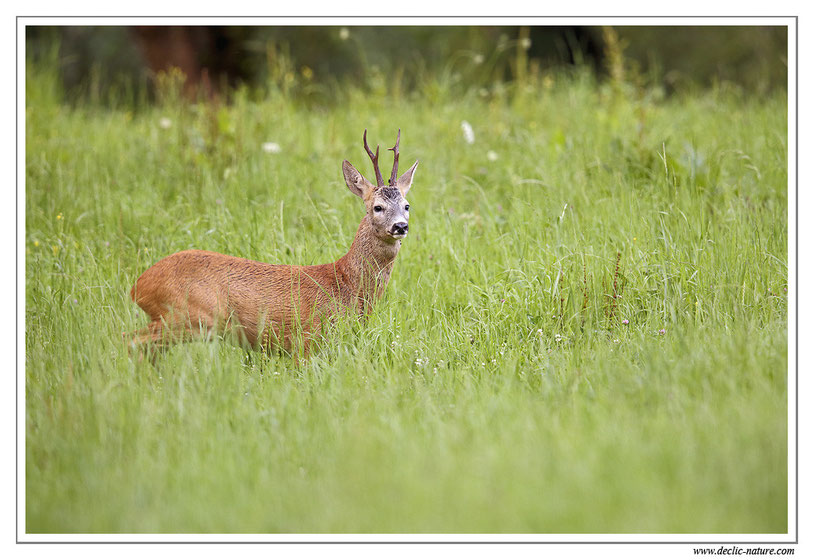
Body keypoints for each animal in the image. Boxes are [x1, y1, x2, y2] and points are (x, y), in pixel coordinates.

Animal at [129, 130, 420, 358]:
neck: (345, 283)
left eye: (407, 206)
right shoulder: (307, 340)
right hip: (188, 317)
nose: (400, 226)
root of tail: (139, 286)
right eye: (377, 207)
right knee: (130, 339)